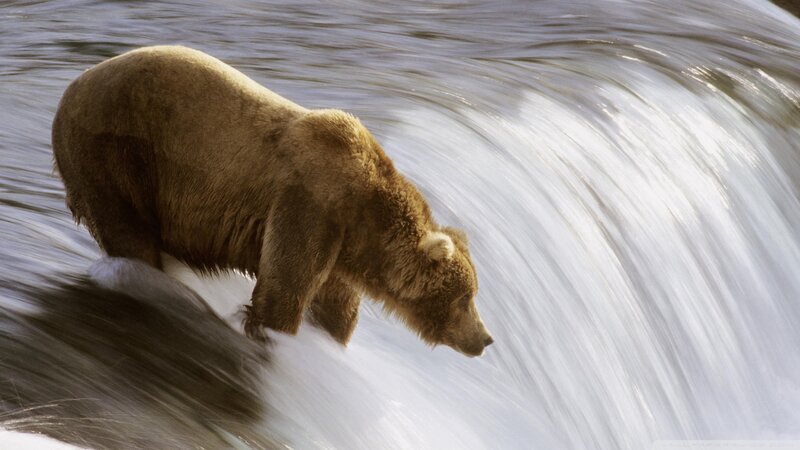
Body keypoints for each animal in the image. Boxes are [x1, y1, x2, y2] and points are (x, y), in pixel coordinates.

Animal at [51, 45, 493, 357]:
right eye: (465, 297)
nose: (485, 338)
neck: (364, 217)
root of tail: (71, 87)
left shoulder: (340, 247)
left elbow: (335, 308)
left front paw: (329, 339)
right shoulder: (310, 205)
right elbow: (284, 290)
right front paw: (274, 335)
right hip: (116, 153)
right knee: (128, 232)